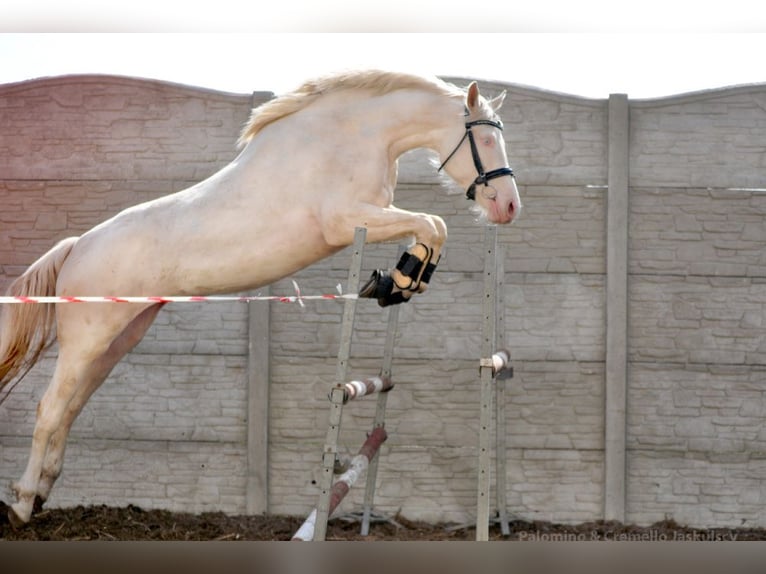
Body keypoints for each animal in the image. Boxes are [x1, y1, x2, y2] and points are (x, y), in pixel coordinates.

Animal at [0, 68, 520, 528]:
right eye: (486, 140)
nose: (509, 206)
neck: (349, 137)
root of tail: (77, 247)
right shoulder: (346, 220)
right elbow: (433, 222)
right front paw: (400, 277)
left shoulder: (373, 214)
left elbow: (433, 227)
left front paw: (399, 282)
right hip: (87, 340)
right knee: (50, 409)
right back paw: (22, 505)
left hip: (119, 338)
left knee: (71, 407)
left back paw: (43, 491)